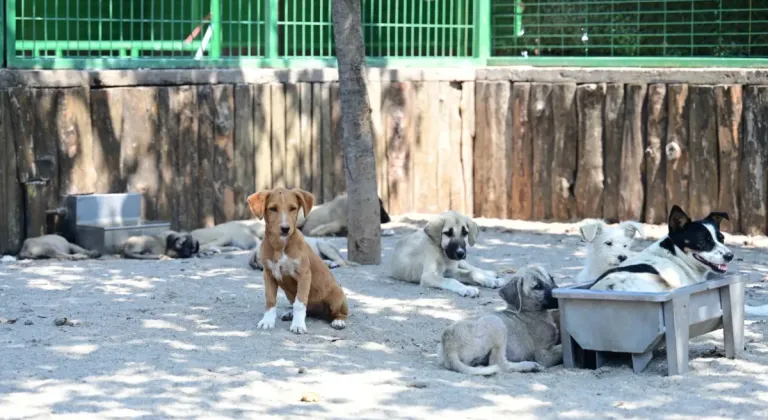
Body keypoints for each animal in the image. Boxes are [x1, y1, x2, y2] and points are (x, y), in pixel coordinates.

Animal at [248, 187, 350, 334]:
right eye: (272, 209)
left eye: (293, 208)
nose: (285, 228)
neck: (280, 246)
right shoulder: (269, 275)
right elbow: (271, 300)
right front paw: (267, 321)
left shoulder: (304, 275)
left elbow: (300, 303)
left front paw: (298, 325)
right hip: (290, 295)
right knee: (306, 310)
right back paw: (290, 314)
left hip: (337, 295)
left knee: (340, 313)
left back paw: (338, 321)